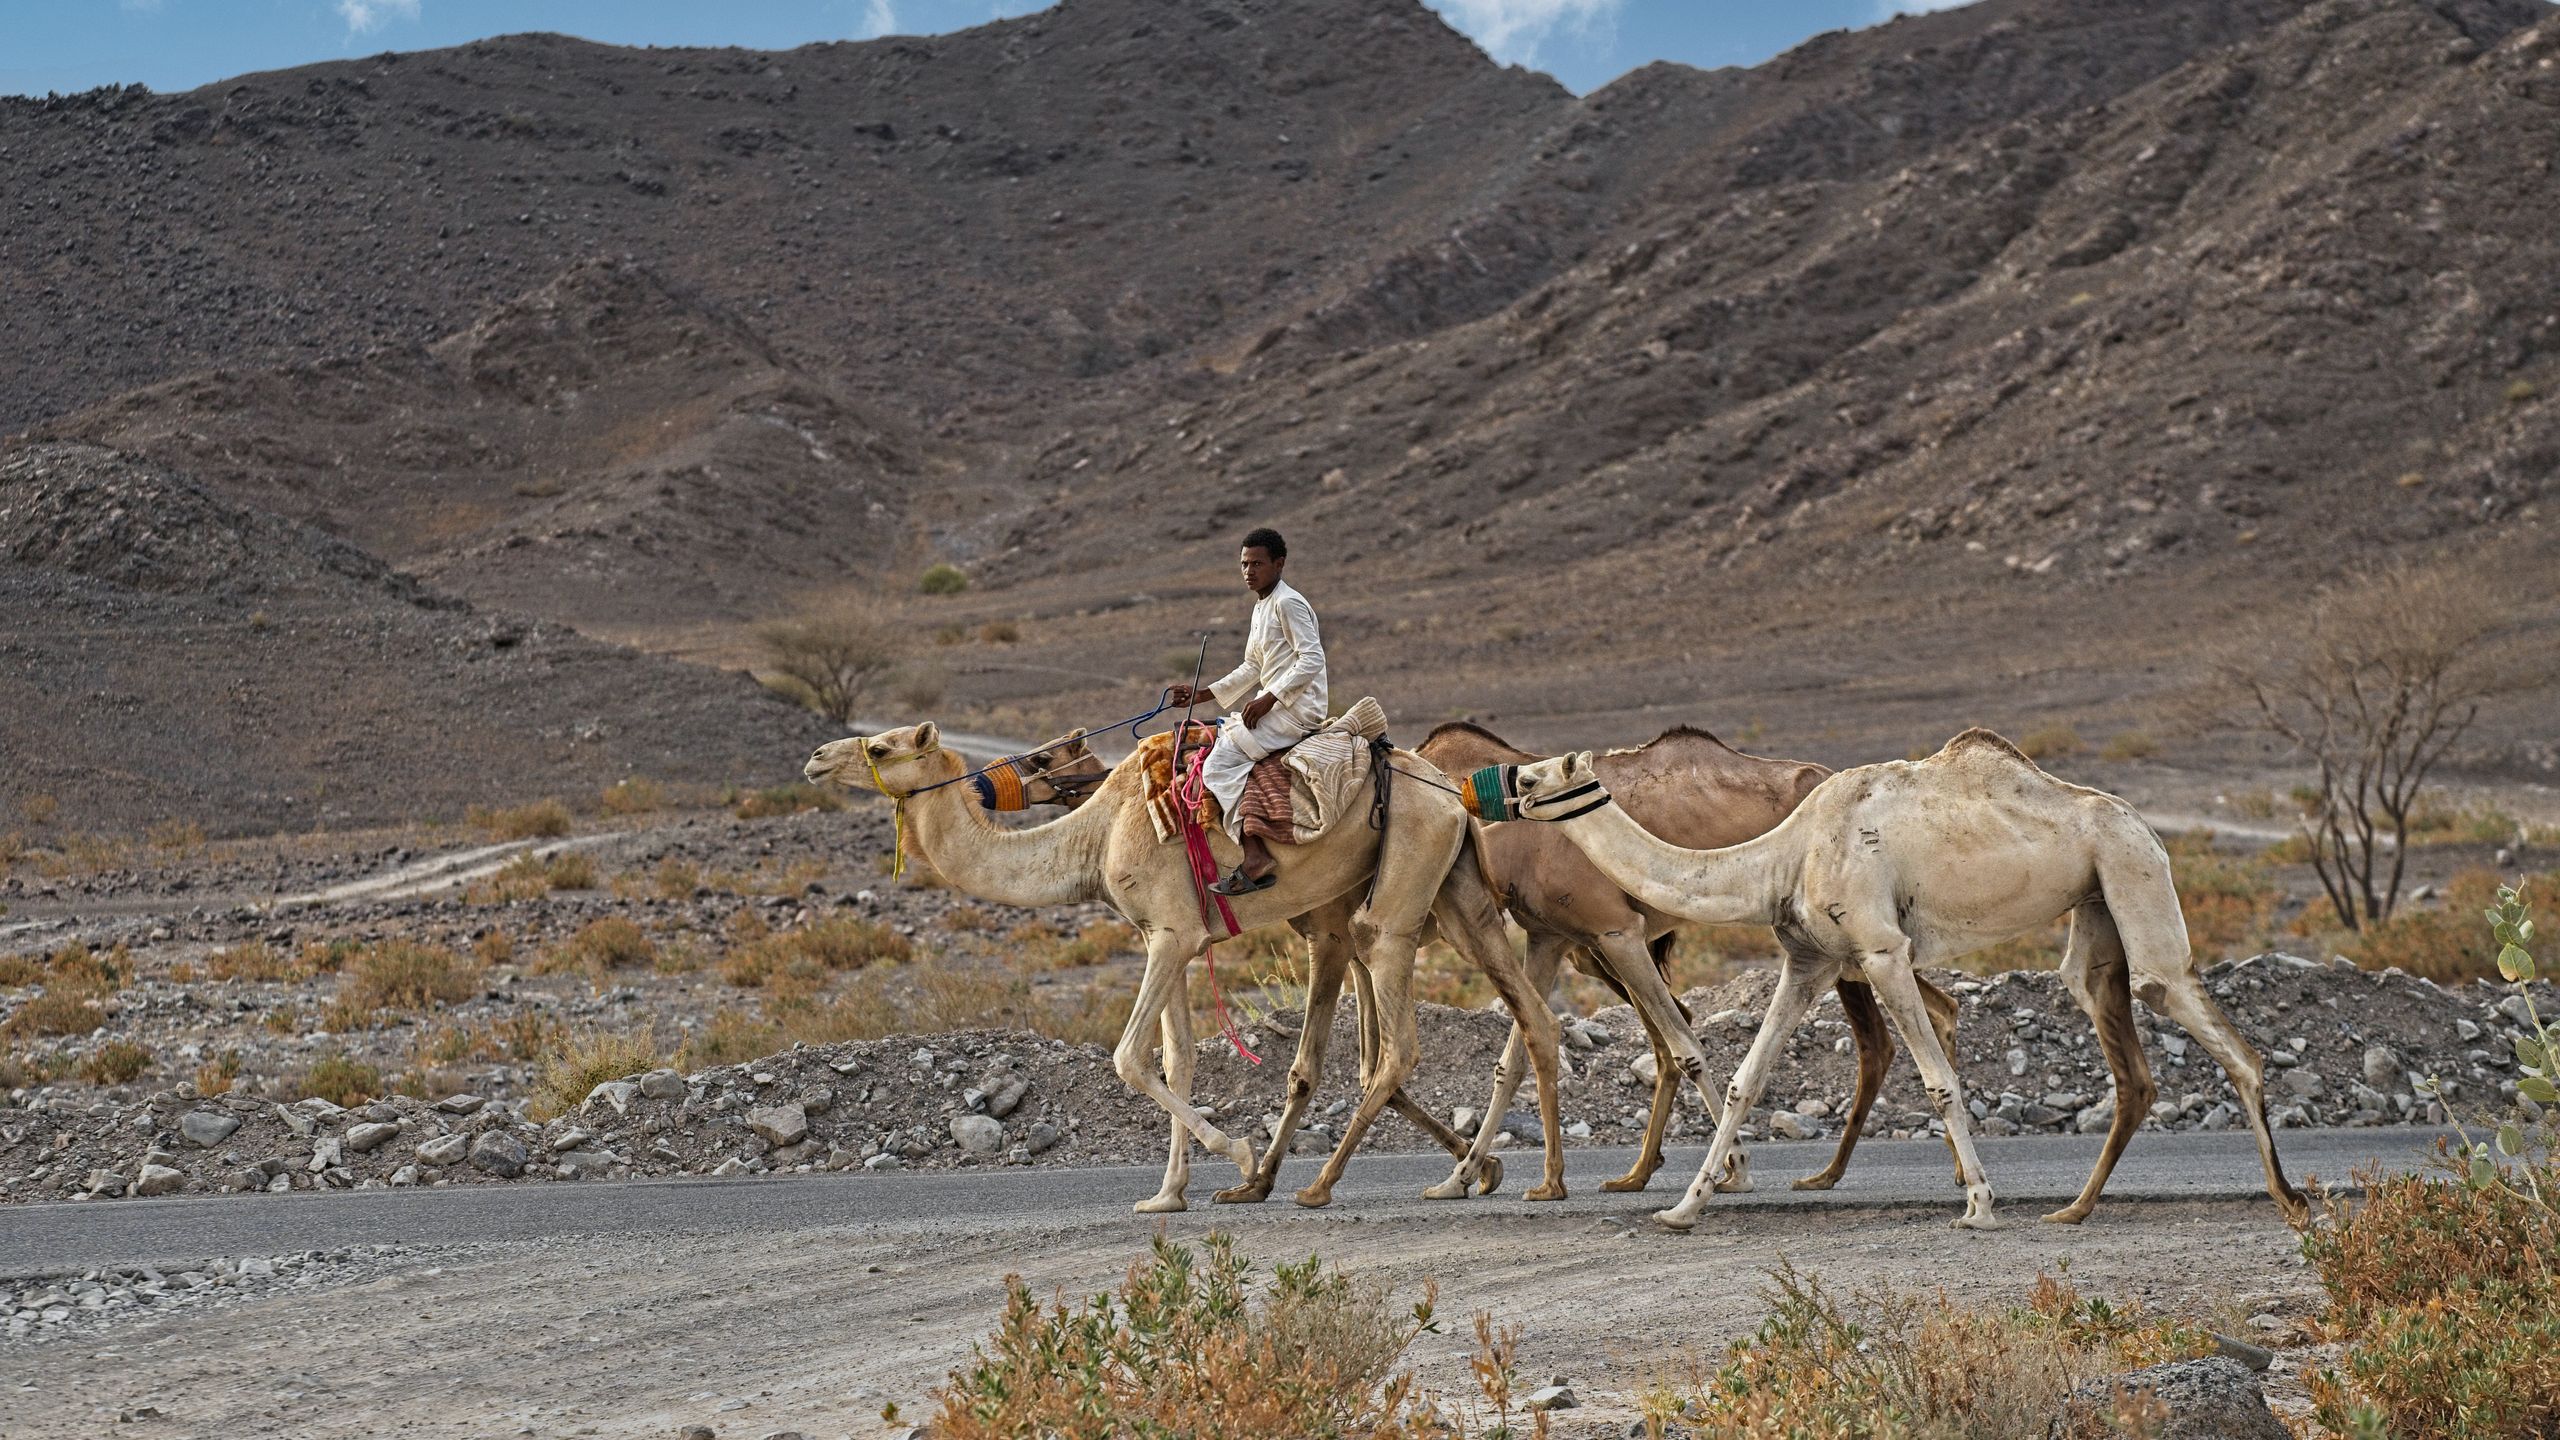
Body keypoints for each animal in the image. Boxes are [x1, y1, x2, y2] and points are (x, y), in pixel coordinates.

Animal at [805, 721, 1568, 1212]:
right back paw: (1508, 1175)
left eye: (881, 746)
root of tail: (1446, 789)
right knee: (1534, 1018)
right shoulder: (1168, 938)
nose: (814, 757)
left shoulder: (1171, 934)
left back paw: (1321, 1185)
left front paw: (1236, 1157)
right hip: (1461, 898)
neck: (1096, 834)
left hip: (1396, 895)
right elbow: (1177, 1062)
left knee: (1398, 1044)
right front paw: (1168, 1194)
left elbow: (1127, 1058)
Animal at [1418, 723, 1960, 1196]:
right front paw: (1464, 1178)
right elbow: (1513, 1057)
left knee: (1878, 1042)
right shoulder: (1548, 938)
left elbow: (1686, 1046)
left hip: (1841, 930)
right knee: (1939, 1007)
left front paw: (1735, 1169)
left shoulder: (1615, 932)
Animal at [1492, 728, 2308, 1232]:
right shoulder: (1809, 959)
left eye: (1542, 771)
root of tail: (2146, 825)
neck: (1781, 855)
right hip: (2097, 905)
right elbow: (1747, 1080)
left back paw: (2289, 1199)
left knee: (2199, 1016)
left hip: (2133, 868)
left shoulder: (1881, 949)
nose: (1507, 782)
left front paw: (1980, 1204)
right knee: (2119, 1037)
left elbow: (1940, 1078)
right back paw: (2075, 1209)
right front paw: (1683, 1208)